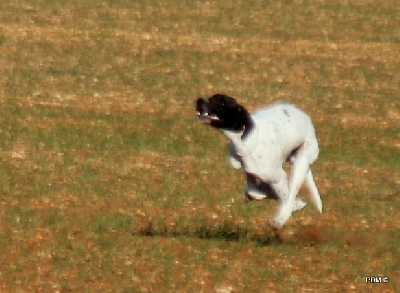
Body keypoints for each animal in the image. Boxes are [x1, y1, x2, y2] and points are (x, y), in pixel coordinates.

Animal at [195, 93, 324, 228]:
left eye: (222, 102)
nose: (199, 100)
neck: (243, 139)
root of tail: (304, 116)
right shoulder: (250, 172)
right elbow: (254, 192)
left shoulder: (278, 177)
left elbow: (285, 198)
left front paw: (287, 212)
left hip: (301, 163)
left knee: (290, 194)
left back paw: (282, 216)